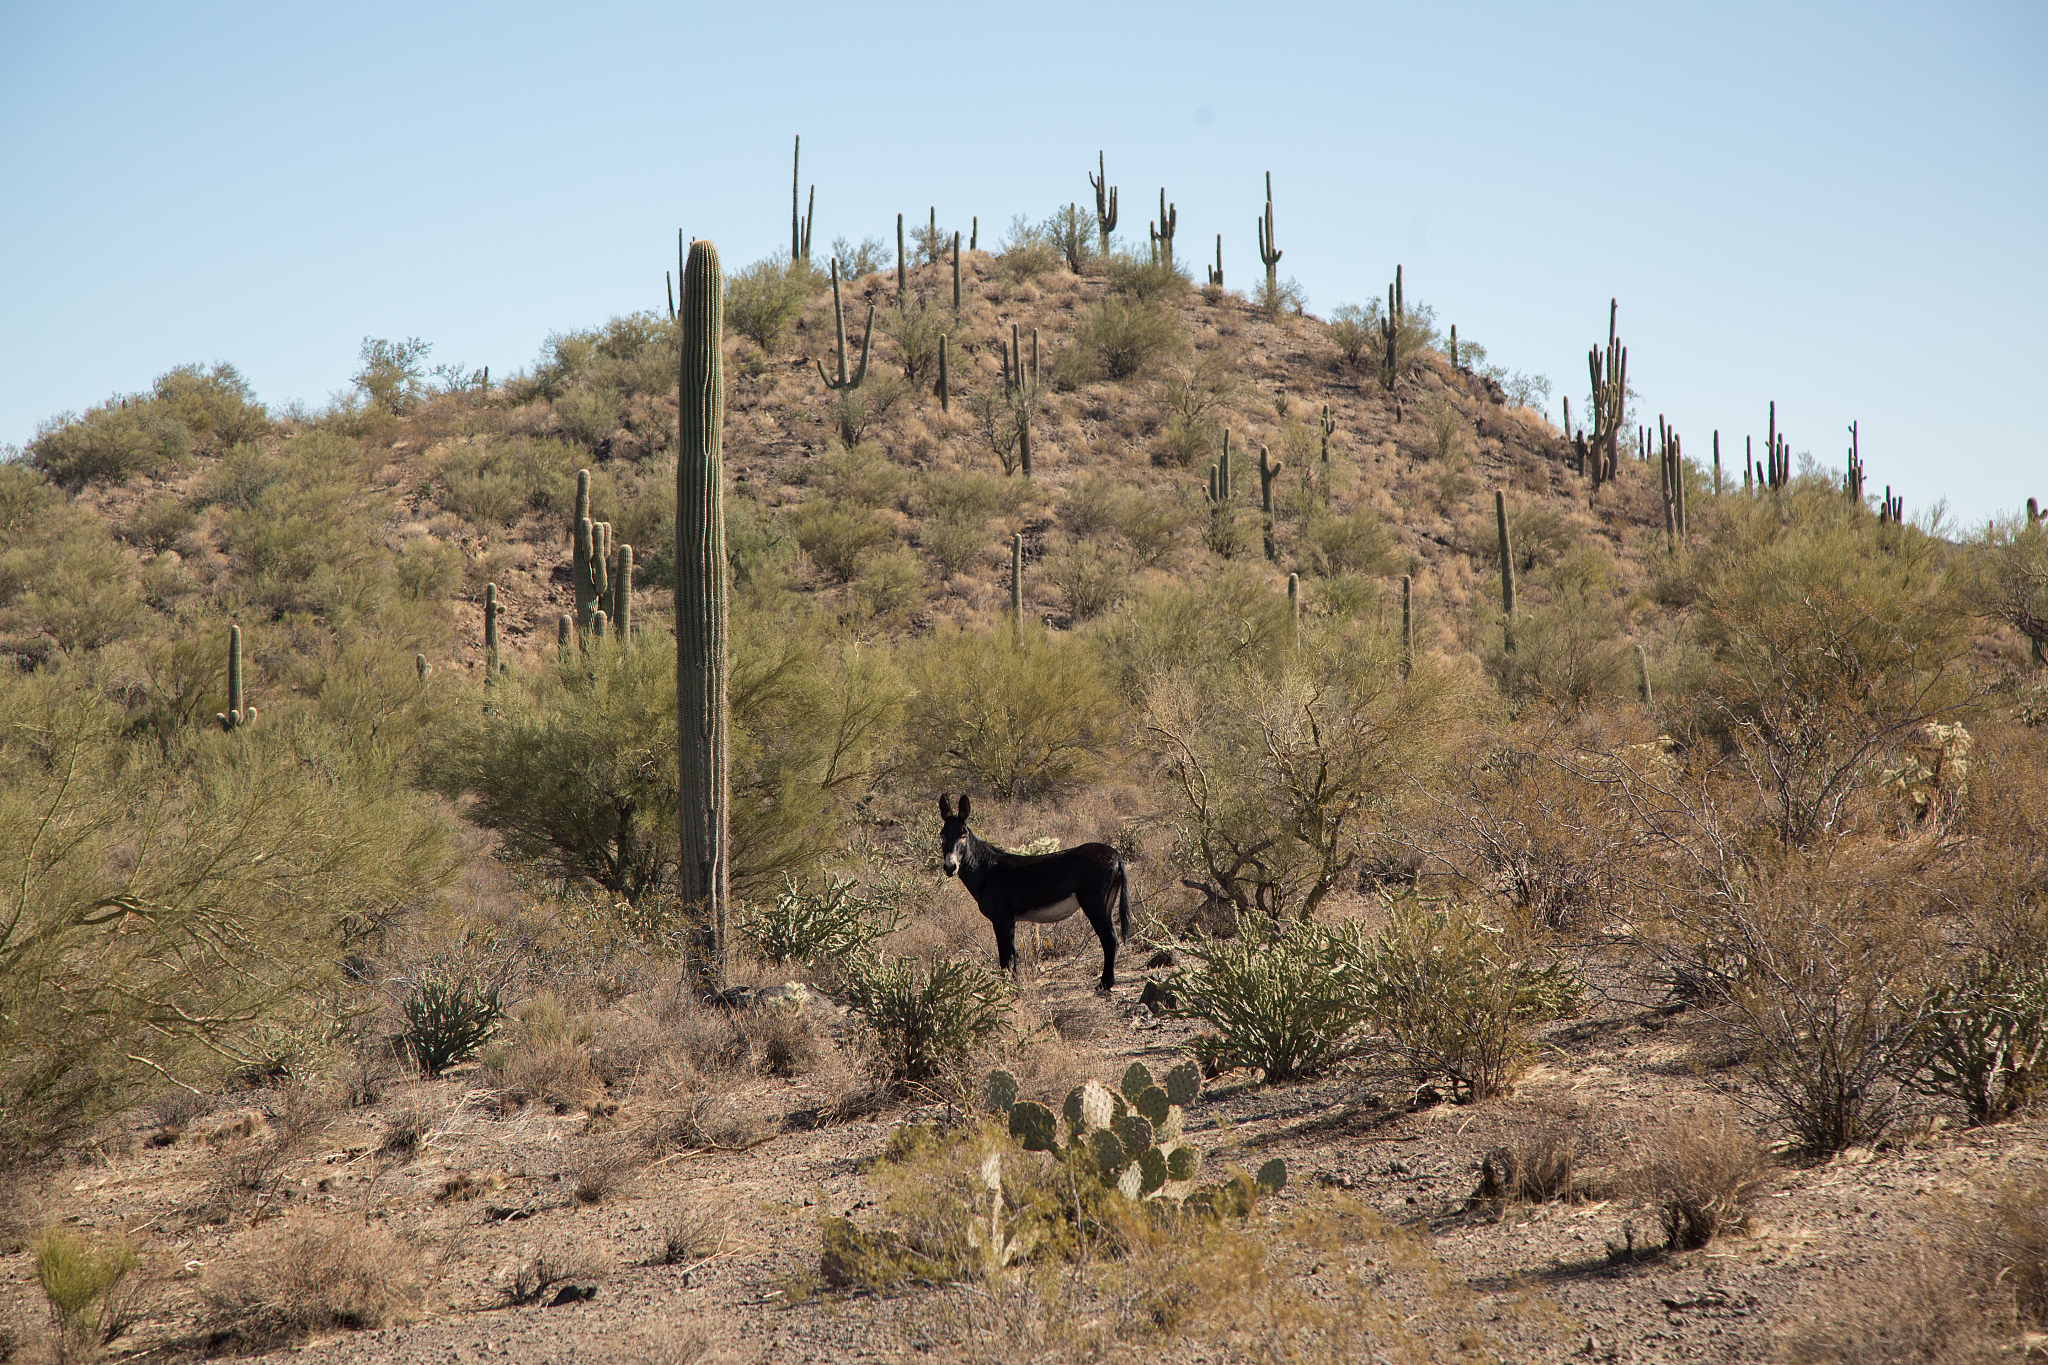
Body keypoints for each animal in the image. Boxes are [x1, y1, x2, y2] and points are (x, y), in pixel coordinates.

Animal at [937, 793, 1129, 992]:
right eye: (942, 835)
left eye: (963, 835)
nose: (950, 867)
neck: (987, 870)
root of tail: (1116, 854)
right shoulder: (1010, 921)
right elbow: (1013, 955)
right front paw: (1015, 985)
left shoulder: (1001, 920)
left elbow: (1005, 957)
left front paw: (1008, 988)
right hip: (1107, 903)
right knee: (1112, 939)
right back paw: (1107, 982)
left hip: (1094, 903)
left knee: (1109, 940)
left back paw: (1104, 984)